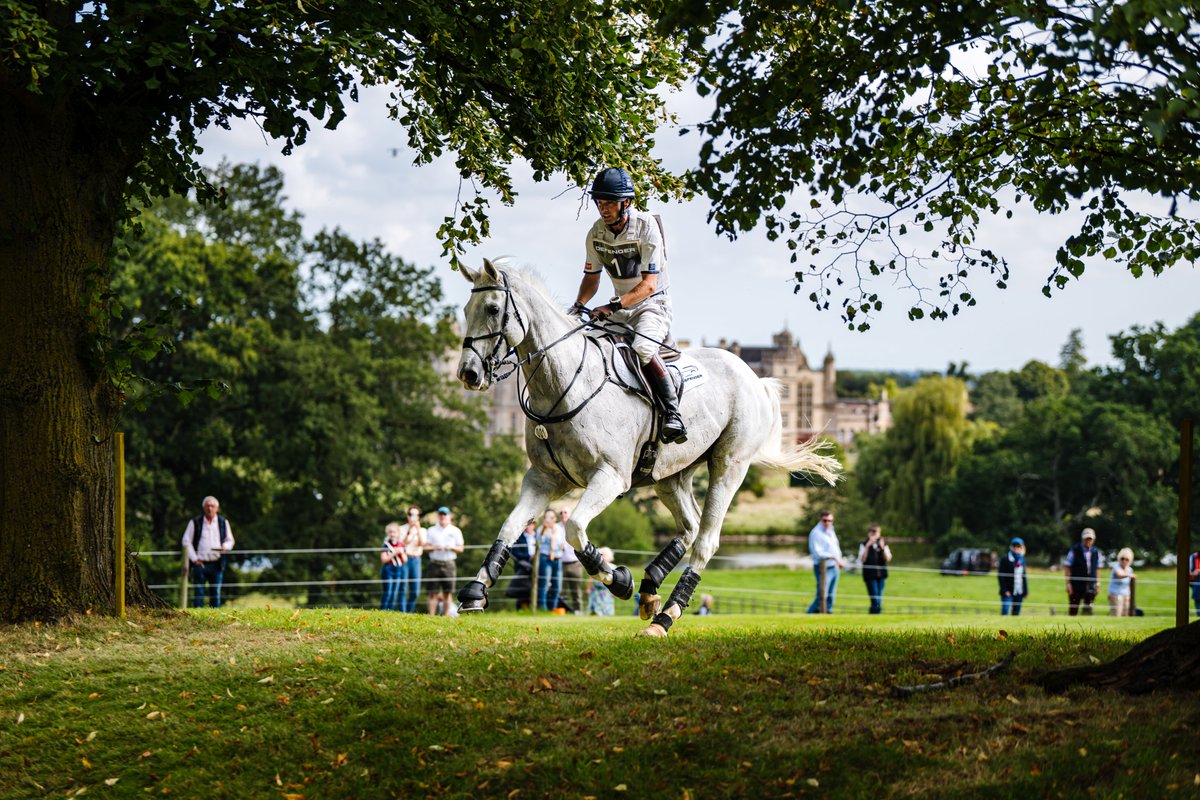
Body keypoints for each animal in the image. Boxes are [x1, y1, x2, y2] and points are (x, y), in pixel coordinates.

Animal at [453, 259, 840, 636]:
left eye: (492, 308)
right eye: (465, 309)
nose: (469, 374)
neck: (563, 386)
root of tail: (754, 376)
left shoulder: (610, 477)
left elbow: (574, 528)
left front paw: (618, 579)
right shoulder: (543, 480)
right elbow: (509, 527)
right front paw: (475, 591)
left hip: (729, 464)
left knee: (706, 540)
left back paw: (665, 615)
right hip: (671, 473)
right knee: (690, 525)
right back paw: (651, 587)